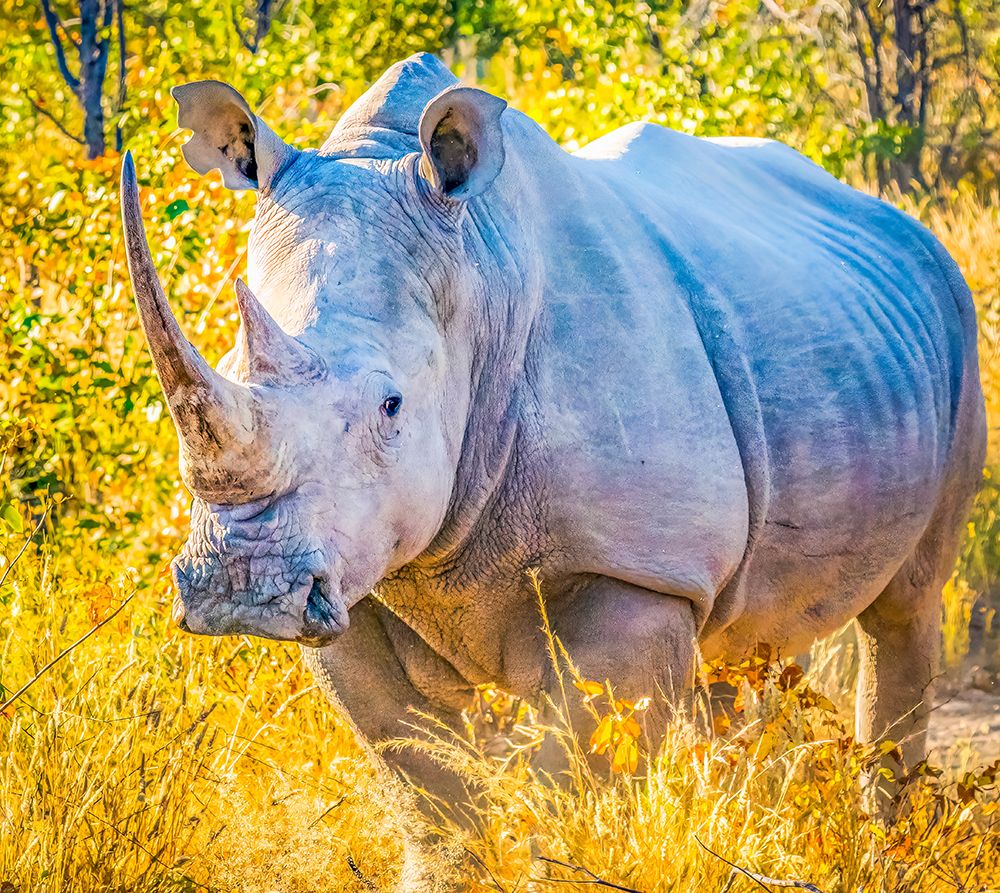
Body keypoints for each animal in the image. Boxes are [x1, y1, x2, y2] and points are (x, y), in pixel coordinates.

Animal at [120, 53, 985, 804]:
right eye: (229, 361)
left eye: (391, 406)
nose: (241, 586)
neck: (478, 275)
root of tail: (905, 229)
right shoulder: (354, 574)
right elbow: (430, 789)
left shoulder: (636, 566)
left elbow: (572, 779)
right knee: (753, 635)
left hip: (955, 325)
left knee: (906, 605)